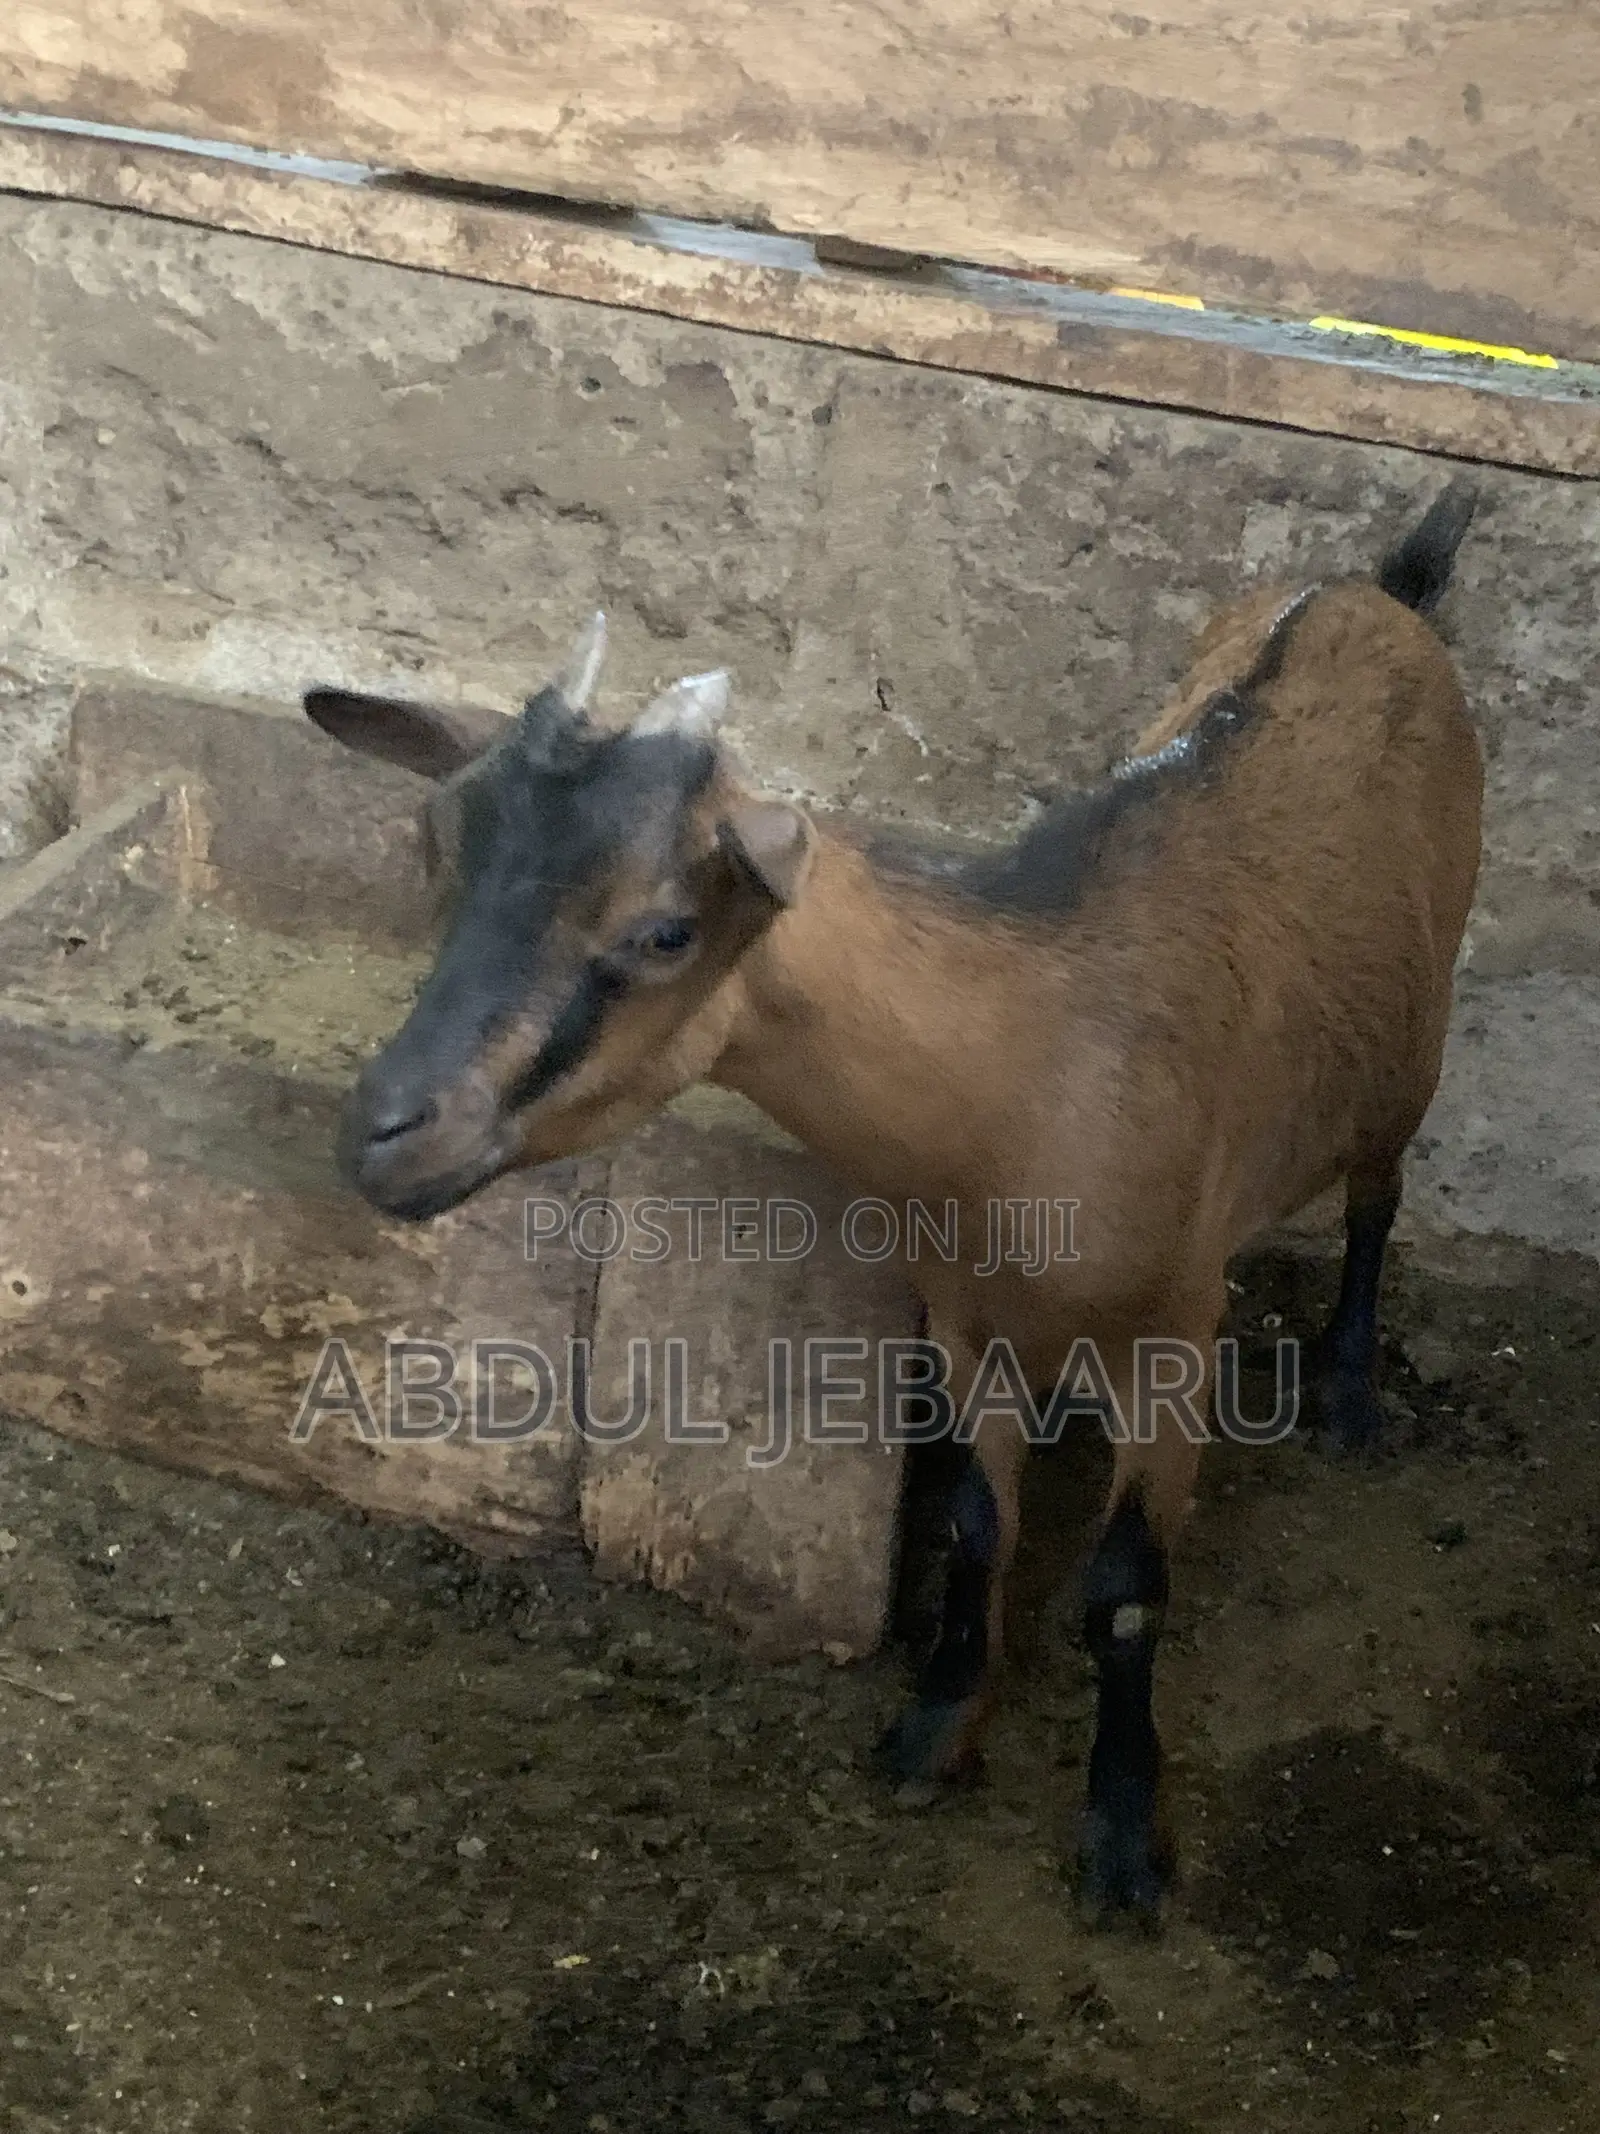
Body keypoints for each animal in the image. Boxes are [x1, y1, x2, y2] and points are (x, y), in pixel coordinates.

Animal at [303, 486, 1483, 1928]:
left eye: (663, 932)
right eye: (436, 854)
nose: (384, 1130)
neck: (1027, 1069)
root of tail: (1380, 593)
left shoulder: (1179, 1324)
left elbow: (1125, 1593)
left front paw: (1123, 1839)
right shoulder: (958, 1309)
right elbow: (979, 1521)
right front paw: (935, 1729)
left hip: (1412, 1043)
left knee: (1380, 1195)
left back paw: (1354, 1391)